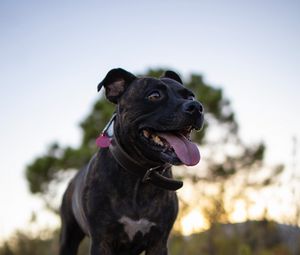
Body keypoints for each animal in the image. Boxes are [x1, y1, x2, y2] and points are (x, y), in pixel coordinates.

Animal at [58, 68, 204, 255]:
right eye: (154, 95)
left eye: (191, 97)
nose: (196, 107)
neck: (141, 174)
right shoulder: (102, 240)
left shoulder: (159, 241)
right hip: (68, 238)